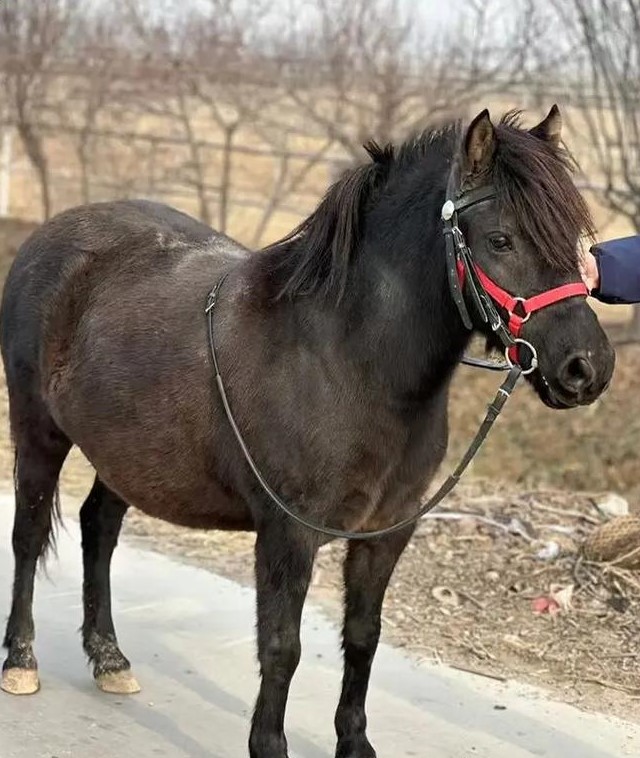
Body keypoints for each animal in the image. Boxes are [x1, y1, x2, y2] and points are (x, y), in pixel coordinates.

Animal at [1, 106, 615, 758]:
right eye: (500, 240)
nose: (586, 368)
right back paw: (21, 660)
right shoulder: (288, 533)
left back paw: (110, 658)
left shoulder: (387, 531)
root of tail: (49, 233)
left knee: (99, 529)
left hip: (129, 456)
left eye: (578, 242)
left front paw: (355, 743)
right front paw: (269, 745)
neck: (344, 359)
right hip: (39, 431)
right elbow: (282, 647)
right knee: (30, 535)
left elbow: (363, 637)